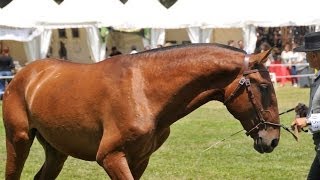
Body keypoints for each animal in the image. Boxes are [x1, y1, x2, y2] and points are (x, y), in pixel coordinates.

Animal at [4, 43, 280, 179]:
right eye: (265, 87)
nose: (273, 140)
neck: (144, 91)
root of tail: (25, 74)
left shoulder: (138, 160)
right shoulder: (111, 157)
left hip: (56, 152)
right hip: (18, 140)